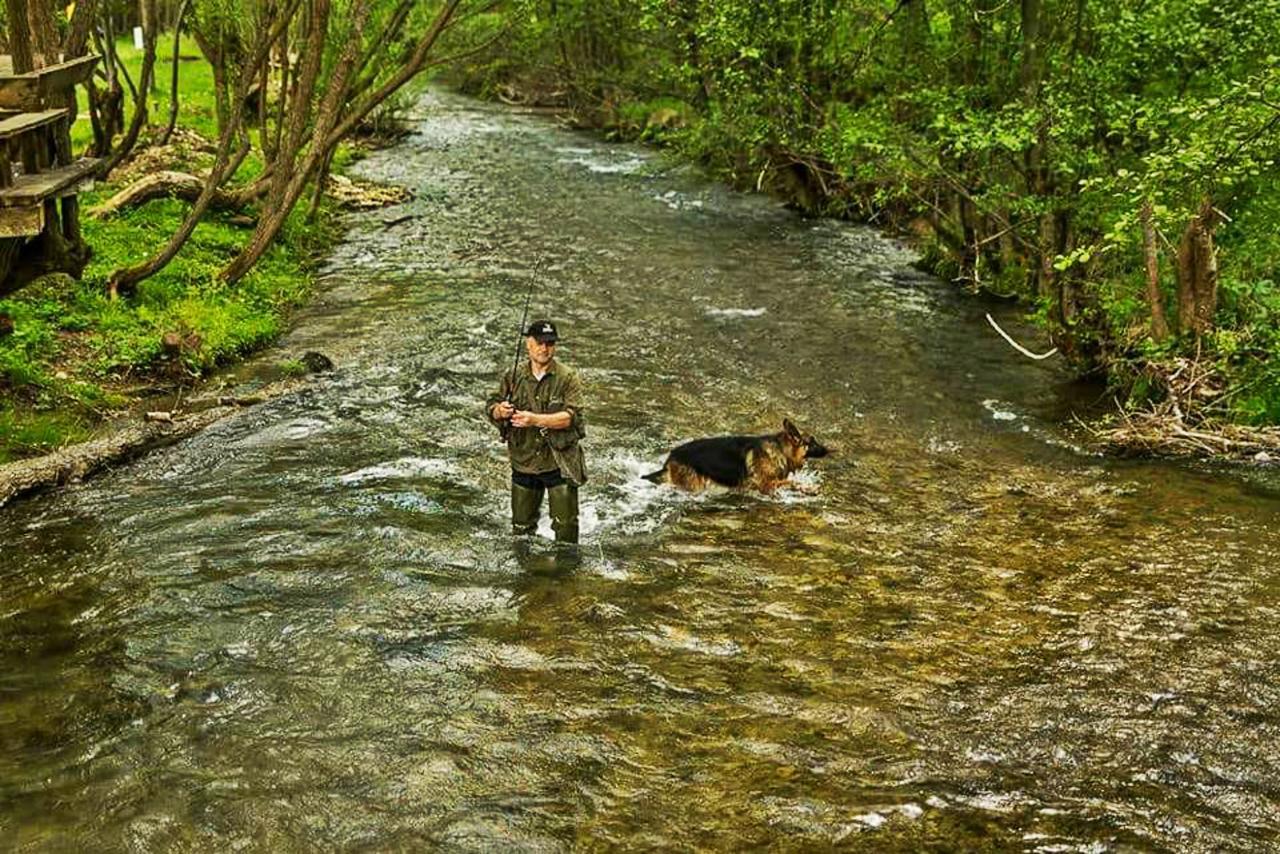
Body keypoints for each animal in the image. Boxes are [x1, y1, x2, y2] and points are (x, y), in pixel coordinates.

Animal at [640, 419, 829, 494]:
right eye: (812, 442)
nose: (828, 450)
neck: (781, 449)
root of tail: (671, 457)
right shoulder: (765, 484)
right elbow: (790, 483)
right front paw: (810, 489)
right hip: (693, 485)